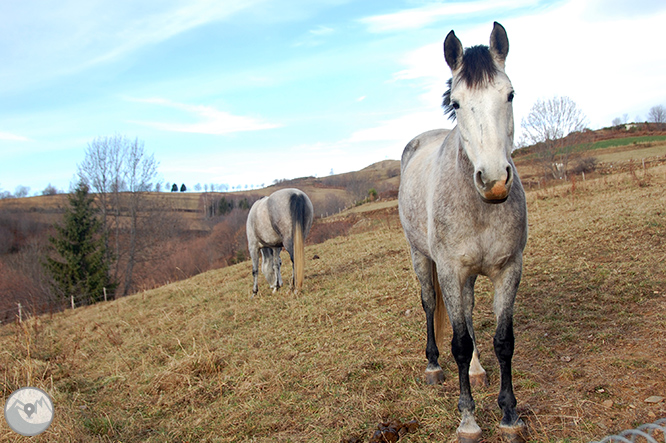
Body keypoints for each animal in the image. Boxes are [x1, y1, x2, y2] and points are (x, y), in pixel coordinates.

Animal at [396, 22, 528, 442]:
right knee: (430, 306)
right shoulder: (451, 271)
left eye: (510, 94)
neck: (481, 207)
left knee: (468, 315)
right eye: (456, 102)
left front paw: (509, 414)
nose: (494, 180)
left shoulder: (509, 269)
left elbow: (503, 341)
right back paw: (433, 367)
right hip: (423, 260)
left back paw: (477, 369)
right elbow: (458, 342)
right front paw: (468, 418)